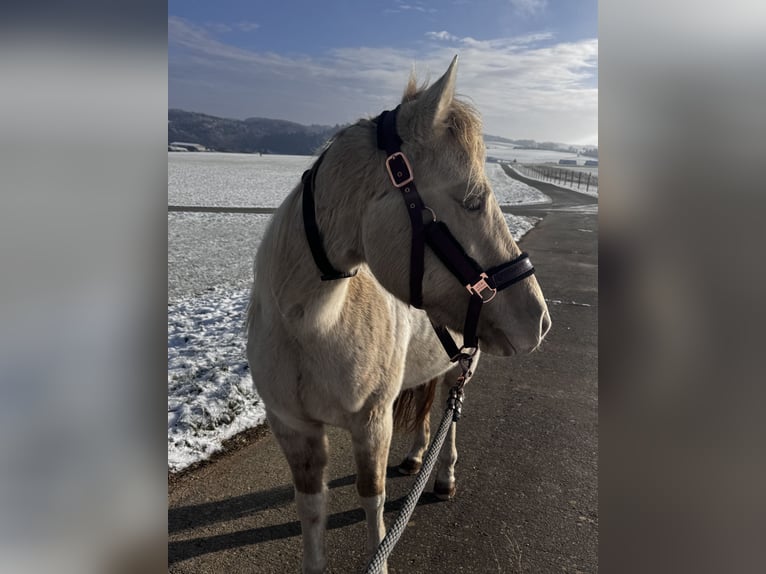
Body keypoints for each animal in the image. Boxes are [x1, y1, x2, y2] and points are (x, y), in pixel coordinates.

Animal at [246, 56, 550, 574]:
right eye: (473, 199)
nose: (540, 319)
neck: (309, 325)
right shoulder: (293, 429)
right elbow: (311, 509)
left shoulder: (372, 422)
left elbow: (374, 500)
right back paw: (415, 456)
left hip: (463, 365)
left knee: (451, 411)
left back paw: (443, 476)